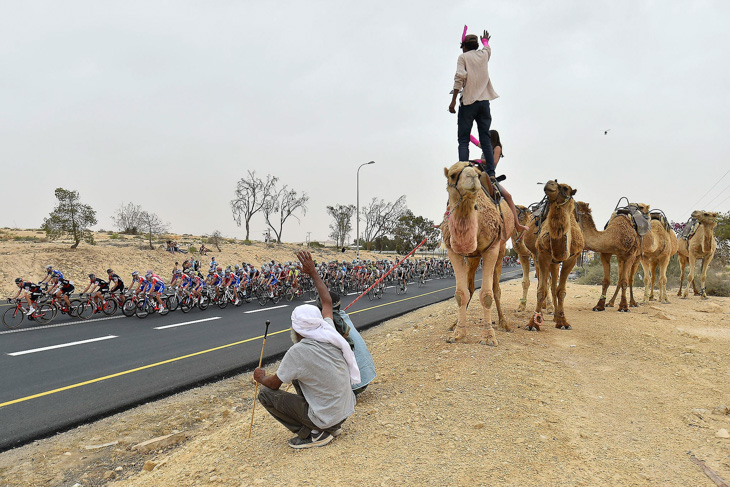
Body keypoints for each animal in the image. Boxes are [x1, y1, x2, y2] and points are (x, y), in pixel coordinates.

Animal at [438, 162, 512, 346]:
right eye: (452, 175)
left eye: (478, 174)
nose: (471, 176)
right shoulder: (453, 250)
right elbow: (460, 293)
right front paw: (457, 333)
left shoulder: (491, 249)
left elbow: (487, 295)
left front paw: (489, 337)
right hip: (472, 257)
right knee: (470, 287)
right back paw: (455, 322)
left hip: (501, 250)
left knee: (496, 288)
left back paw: (504, 323)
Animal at [524, 181, 580, 334]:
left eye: (566, 188)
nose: (550, 184)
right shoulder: (543, 255)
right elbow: (541, 290)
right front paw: (533, 323)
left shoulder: (572, 258)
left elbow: (561, 291)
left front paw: (563, 322)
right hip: (537, 257)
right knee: (543, 282)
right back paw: (542, 315)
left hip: (555, 263)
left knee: (554, 286)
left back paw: (555, 316)